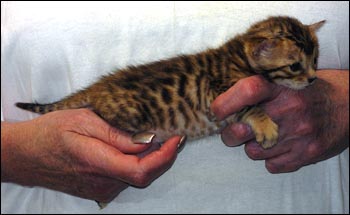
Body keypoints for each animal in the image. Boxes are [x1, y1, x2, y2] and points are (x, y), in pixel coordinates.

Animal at [15, 15, 324, 149]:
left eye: (315, 60)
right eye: (295, 66)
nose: (312, 79)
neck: (239, 56)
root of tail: (100, 85)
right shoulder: (217, 95)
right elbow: (250, 106)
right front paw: (264, 123)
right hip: (130, 112)